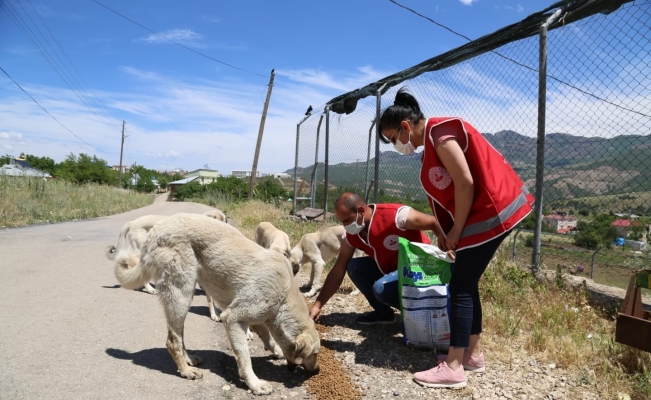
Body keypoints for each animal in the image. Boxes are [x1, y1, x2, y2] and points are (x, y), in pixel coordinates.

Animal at [116, 214, 324, 396]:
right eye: (315, 354)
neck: (284, 295)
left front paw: (276, 350)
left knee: (179, 336)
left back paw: (189, 360)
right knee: (173, 340)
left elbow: (268, 338)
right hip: (181, 294)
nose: (318, 370)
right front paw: (255, 384)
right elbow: (245, 358)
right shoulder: (232, 319)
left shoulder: (258, 317)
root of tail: (156, 229)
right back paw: (186, 371)